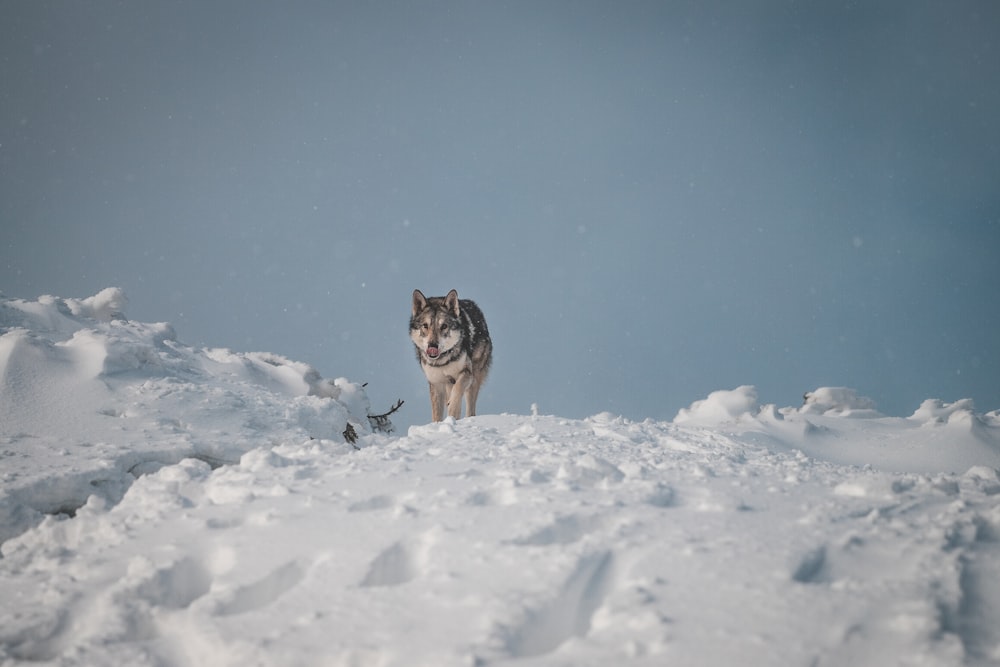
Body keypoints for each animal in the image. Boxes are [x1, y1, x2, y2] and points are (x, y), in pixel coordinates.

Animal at [410, 288, 492, 422]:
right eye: (425, 326)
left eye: (444, 326)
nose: (433, 346)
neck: (443, 361)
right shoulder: (436, 383)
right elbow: (436, 414)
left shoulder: (466, 373)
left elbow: (457, 392)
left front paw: (453, 414)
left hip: (474, 379)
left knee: (470, 409)